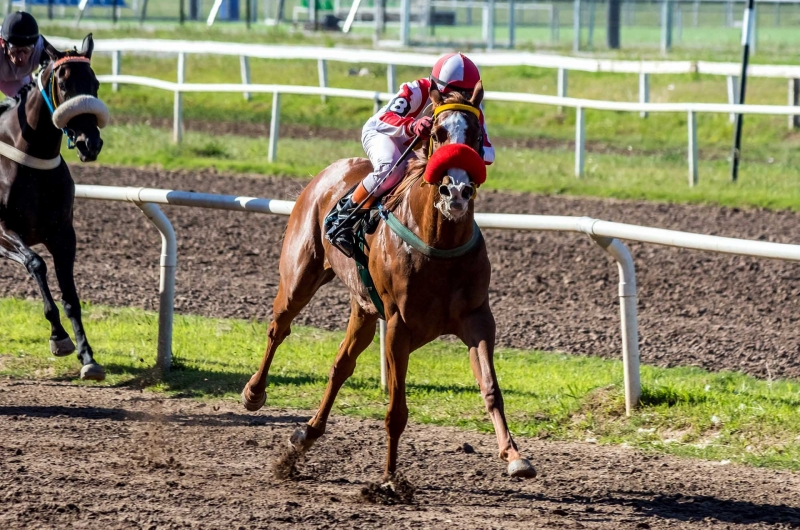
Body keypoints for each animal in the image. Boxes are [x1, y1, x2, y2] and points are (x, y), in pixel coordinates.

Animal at [0, 34, 108, 380]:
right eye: (62, 84)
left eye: (95, 83)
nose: (90, 143)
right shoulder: (3, 231)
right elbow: (36, 263)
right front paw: (59, 337)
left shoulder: (63, 234)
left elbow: (71, 296)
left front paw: (88, 357)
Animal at [241, 82, 536, 482]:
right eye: (437, 132)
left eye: (476, 136)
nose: (457, 192)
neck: (439, 243)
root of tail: (330, 171)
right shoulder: (399, 325)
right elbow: (396, 410)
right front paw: (389, 479)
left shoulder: (477, 319)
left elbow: (490, 388)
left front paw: (514, 456)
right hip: (300, 276)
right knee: (279, 328)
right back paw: (254, 393)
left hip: (364, 309)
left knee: (340, 366)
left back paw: (305, 436)